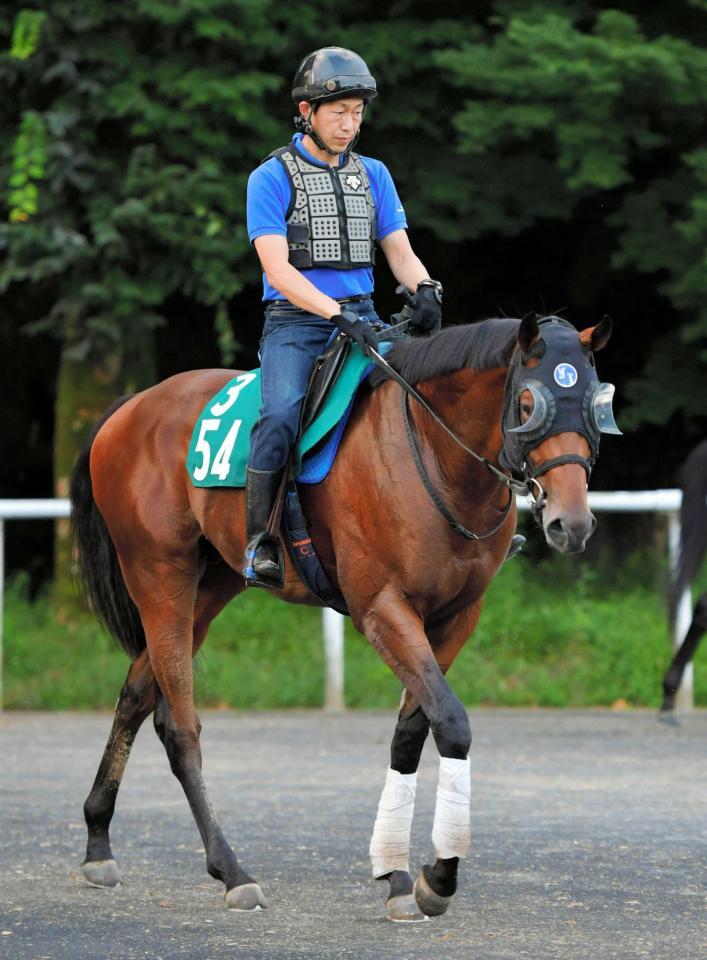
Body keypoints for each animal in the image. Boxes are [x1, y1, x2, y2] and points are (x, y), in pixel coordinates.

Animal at [69, 312, 616, 920]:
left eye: (595, 404)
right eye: (527, 403)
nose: (572, 522)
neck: (431, 454)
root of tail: (129, 409)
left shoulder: (457, 617)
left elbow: (412, 731)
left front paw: (397, 873)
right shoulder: (382, 611)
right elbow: (452, 724)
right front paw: (438, 876)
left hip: (208, 589)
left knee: (138, 695)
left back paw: (98, 842)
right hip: (160, 578)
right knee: (181, 727)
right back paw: (231, 870)